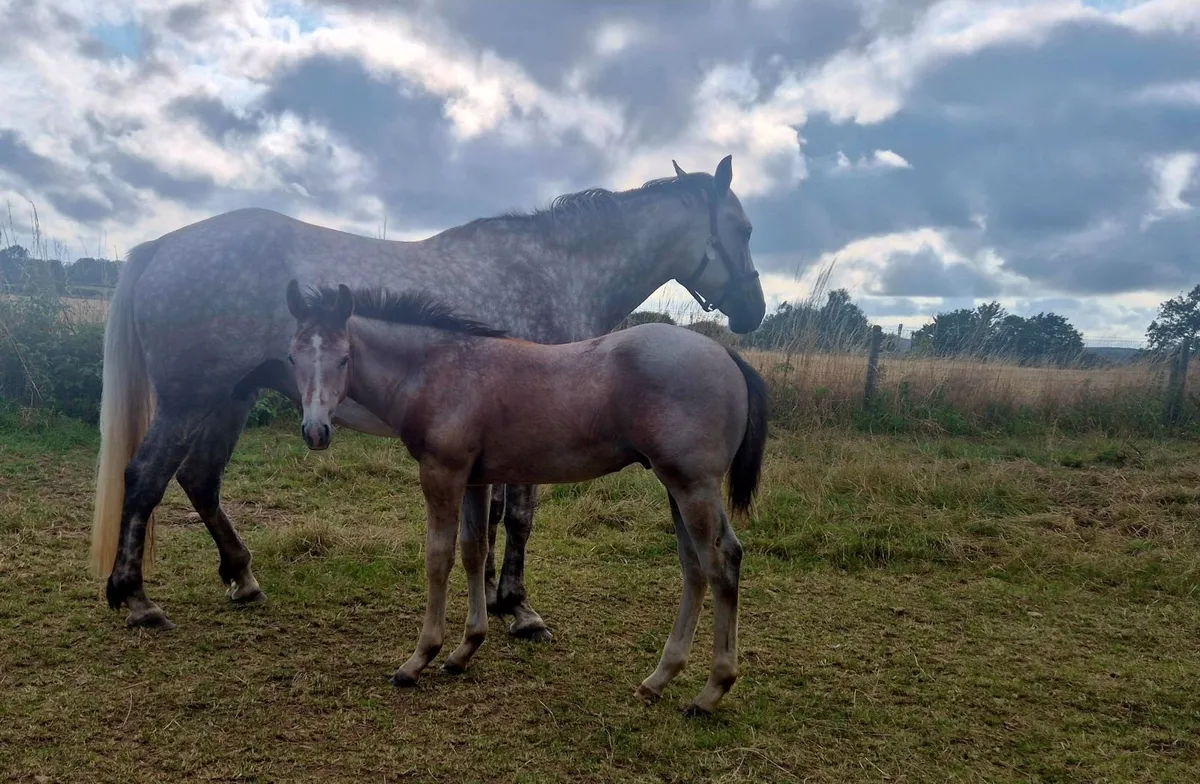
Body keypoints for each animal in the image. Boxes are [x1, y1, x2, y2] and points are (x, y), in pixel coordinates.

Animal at [92, 155, 766, 638]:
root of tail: (162, 247)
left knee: (199, 480)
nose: (755, 310)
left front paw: (491, 597)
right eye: (745, 228)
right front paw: (518, 608)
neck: (555, 270)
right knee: (146, 478)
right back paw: (136, 599)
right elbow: (518, 517)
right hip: (189, 400)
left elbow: (488, 520)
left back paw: (243, 577)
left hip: (227, 398)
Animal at [285, 280, 769, 716]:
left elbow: (439, 558)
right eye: (292, 356)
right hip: (676, 486)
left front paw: (419, 659)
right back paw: (658, 680)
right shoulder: (475, 480)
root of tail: (724, 353)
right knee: (695, 567)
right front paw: (464, 650)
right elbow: (474, 551)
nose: (315, 431)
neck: (437, 369)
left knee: (721, 562)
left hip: (693, 485)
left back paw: (710, 693)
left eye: (344, 357)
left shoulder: (442, 473)